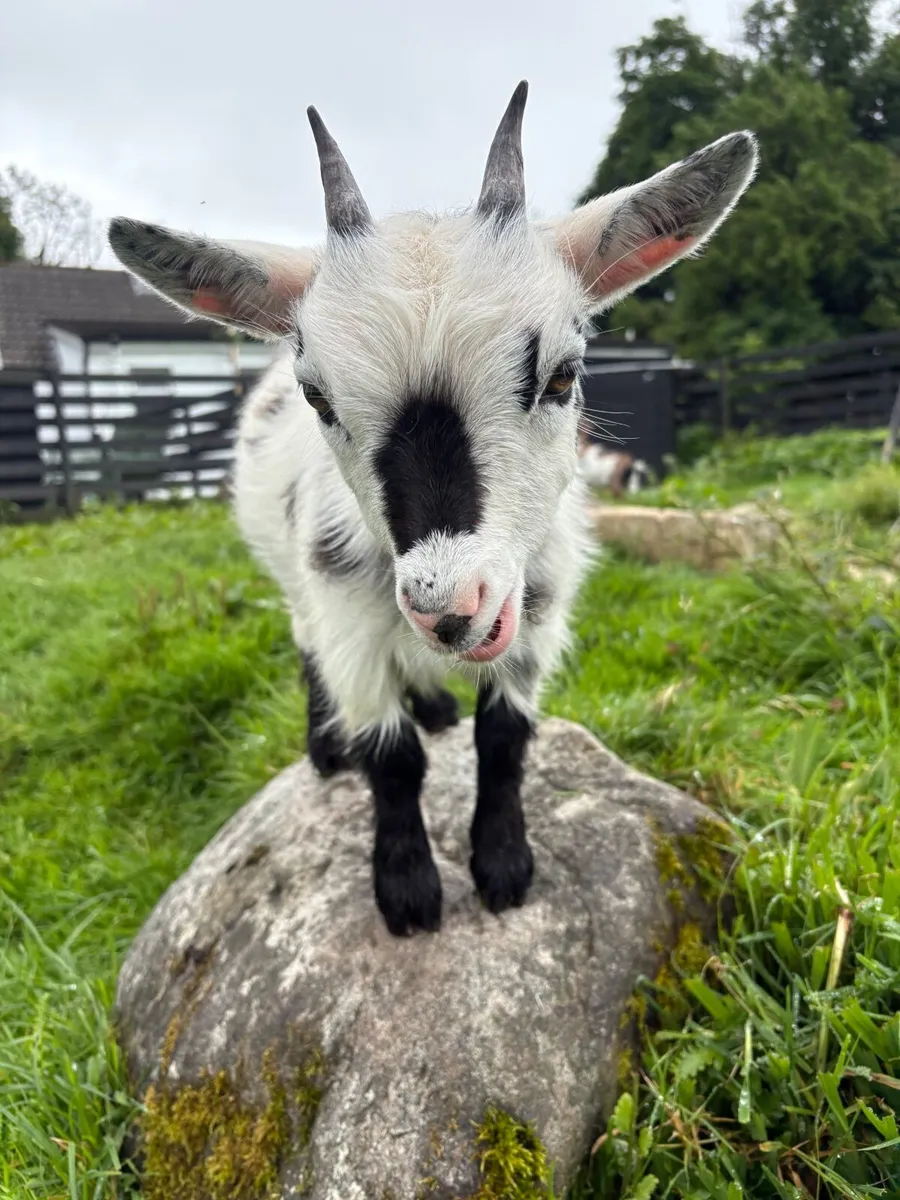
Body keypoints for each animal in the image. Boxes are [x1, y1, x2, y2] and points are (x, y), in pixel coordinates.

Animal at [108, 83, 757, 936]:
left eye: (563, 374)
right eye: (318, 397)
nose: (448, 603)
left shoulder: (535, 614)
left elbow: (505, 736)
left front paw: (505, 865)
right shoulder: (348, 609)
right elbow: (391, 756)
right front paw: (408, 889)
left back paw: (435, 703)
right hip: (299, 578)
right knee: (304, 641)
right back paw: (327, 745)